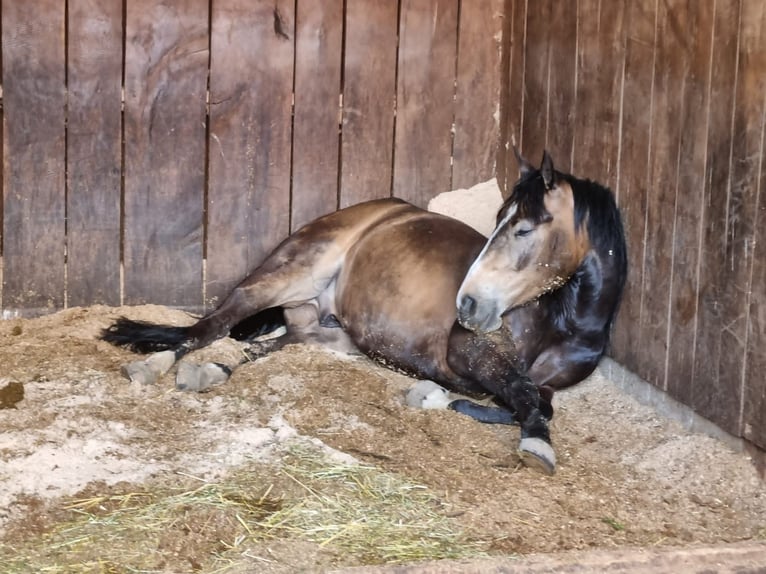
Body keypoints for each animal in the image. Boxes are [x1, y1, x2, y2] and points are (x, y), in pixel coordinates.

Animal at [103, 151, 632, 474]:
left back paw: (210, 372)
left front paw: (442, 400)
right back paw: (153, 363)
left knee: (268, 346)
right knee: (209, 326)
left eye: (523, 229)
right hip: (288, 273)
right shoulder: (469, 354)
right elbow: (525, 399)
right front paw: (534, 445)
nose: (468, 304)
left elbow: (535, 399)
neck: (560, 322)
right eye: (500, 221)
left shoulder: (541, 380)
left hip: (334, 334)